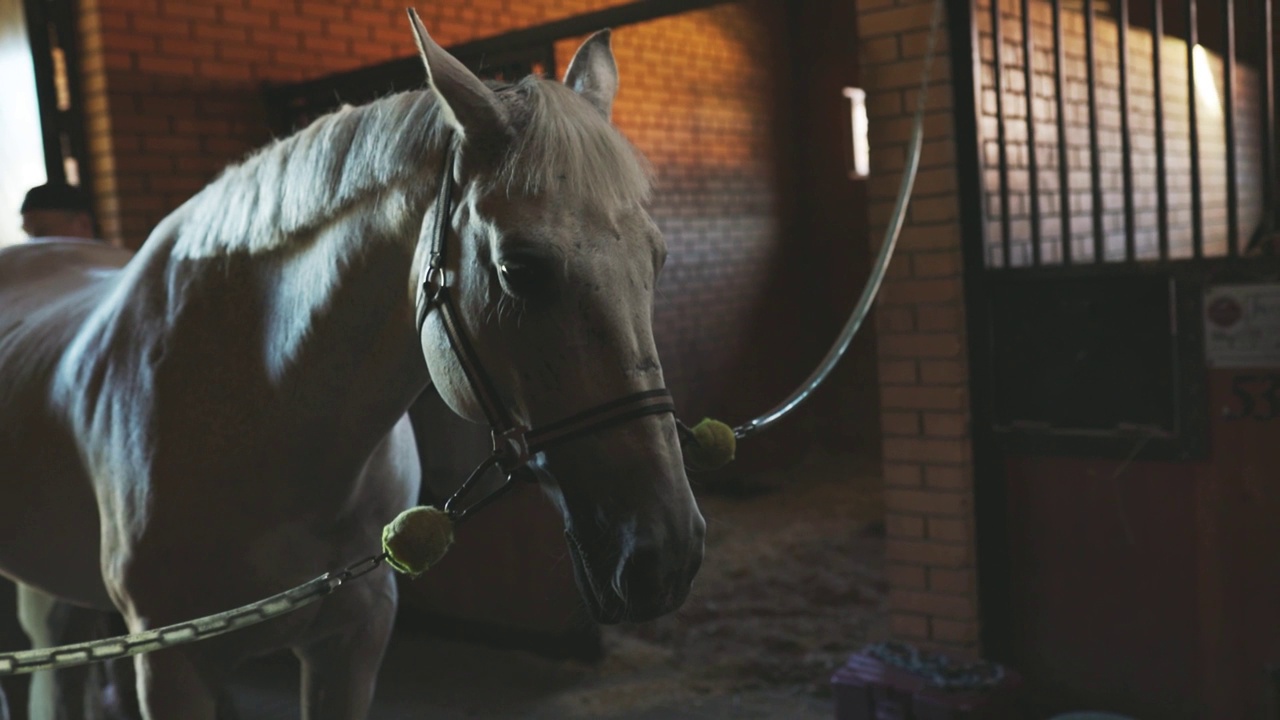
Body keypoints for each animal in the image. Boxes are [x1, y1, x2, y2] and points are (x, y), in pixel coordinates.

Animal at [0, 14, 701, 712]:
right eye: (518, 269)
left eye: (659, 258)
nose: (666, 556)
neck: (263, 413)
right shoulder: (170, 664)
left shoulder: (353, 638)